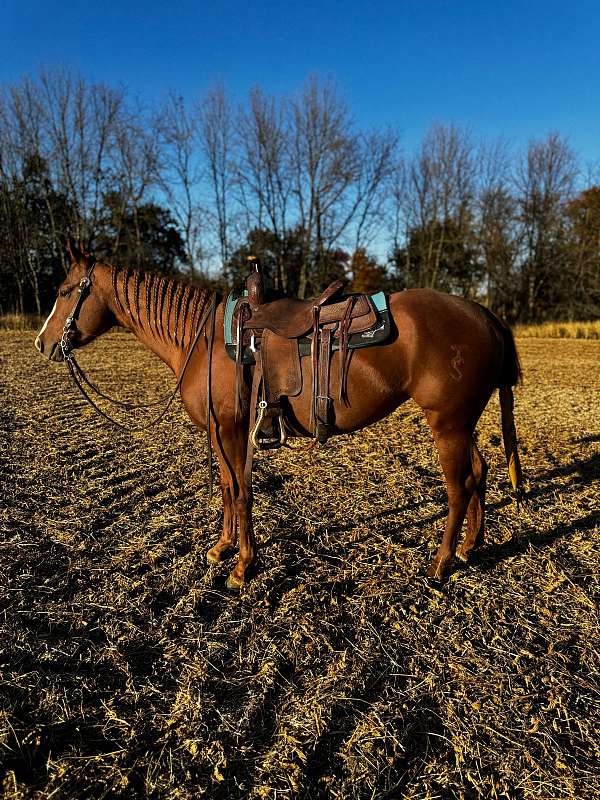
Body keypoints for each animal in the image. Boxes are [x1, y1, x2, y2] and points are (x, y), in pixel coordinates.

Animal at [35, 241, 524, 592]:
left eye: (63, 291)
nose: (43, 343)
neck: (202, 340)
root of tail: (485, 313)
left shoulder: (233, 431)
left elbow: (242, 492)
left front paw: (242, 567)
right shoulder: (220, 433)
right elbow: (228, 488)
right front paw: (221, 548)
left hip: (448, 425)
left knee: (459, 487)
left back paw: (440, 564)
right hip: (463, 424)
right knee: (480, 473)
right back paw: (470, 547)